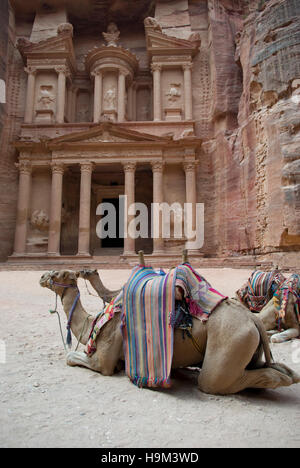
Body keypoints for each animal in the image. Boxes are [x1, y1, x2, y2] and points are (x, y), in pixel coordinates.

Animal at [40, 266, 300, 394]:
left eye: (58, 273)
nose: (42, 276)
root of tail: (253, 321)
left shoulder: (103, 358)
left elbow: (72, 357)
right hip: (251, 346)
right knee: (280, 370)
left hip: (232, 340)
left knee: (215, 381)